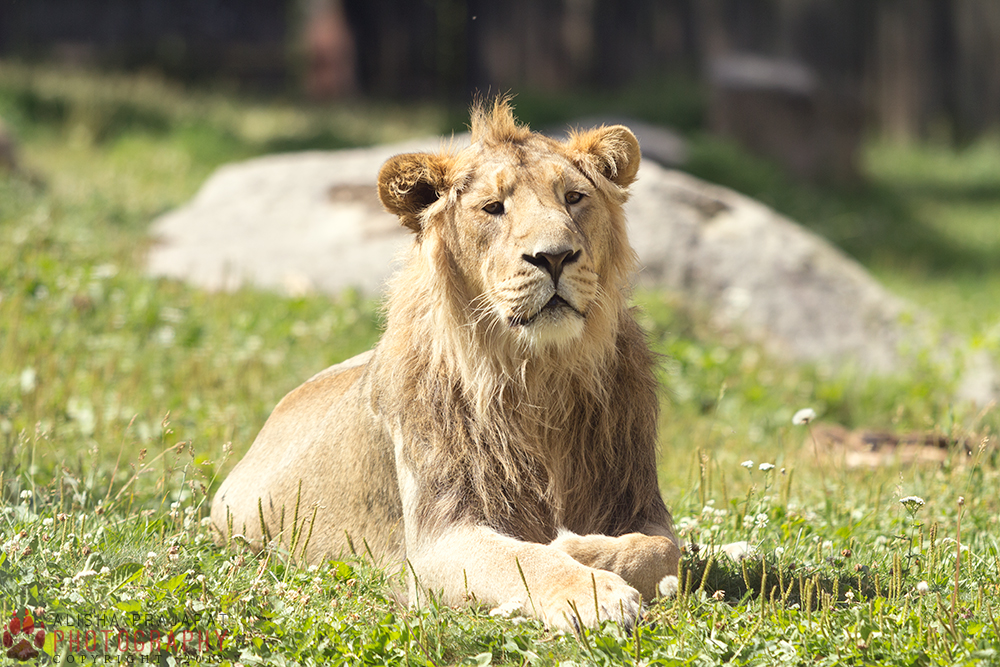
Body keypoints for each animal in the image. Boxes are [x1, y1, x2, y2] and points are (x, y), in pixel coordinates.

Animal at [210, 99, 680, 632]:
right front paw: (592, 591)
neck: (539, 372)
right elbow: (523, 557)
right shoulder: (438, 540)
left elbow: (664, 549)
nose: (555, 256)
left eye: (575, 198)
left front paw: (581, 548)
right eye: (493, 207)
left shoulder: (639, 500)